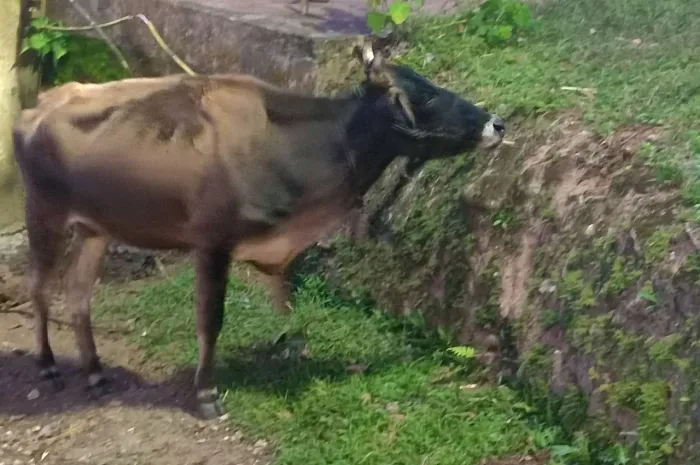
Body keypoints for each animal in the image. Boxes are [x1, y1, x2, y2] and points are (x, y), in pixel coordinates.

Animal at [12, 41, 506, 419]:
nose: (497, 123)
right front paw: (206, 396)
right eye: (424, 97)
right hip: (44, 213)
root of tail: (41, 103)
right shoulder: (213, 243)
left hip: (95, 228)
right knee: (39, 288)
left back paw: (95, 373)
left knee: (78, 294)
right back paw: (48, 366)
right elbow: (210, 320)